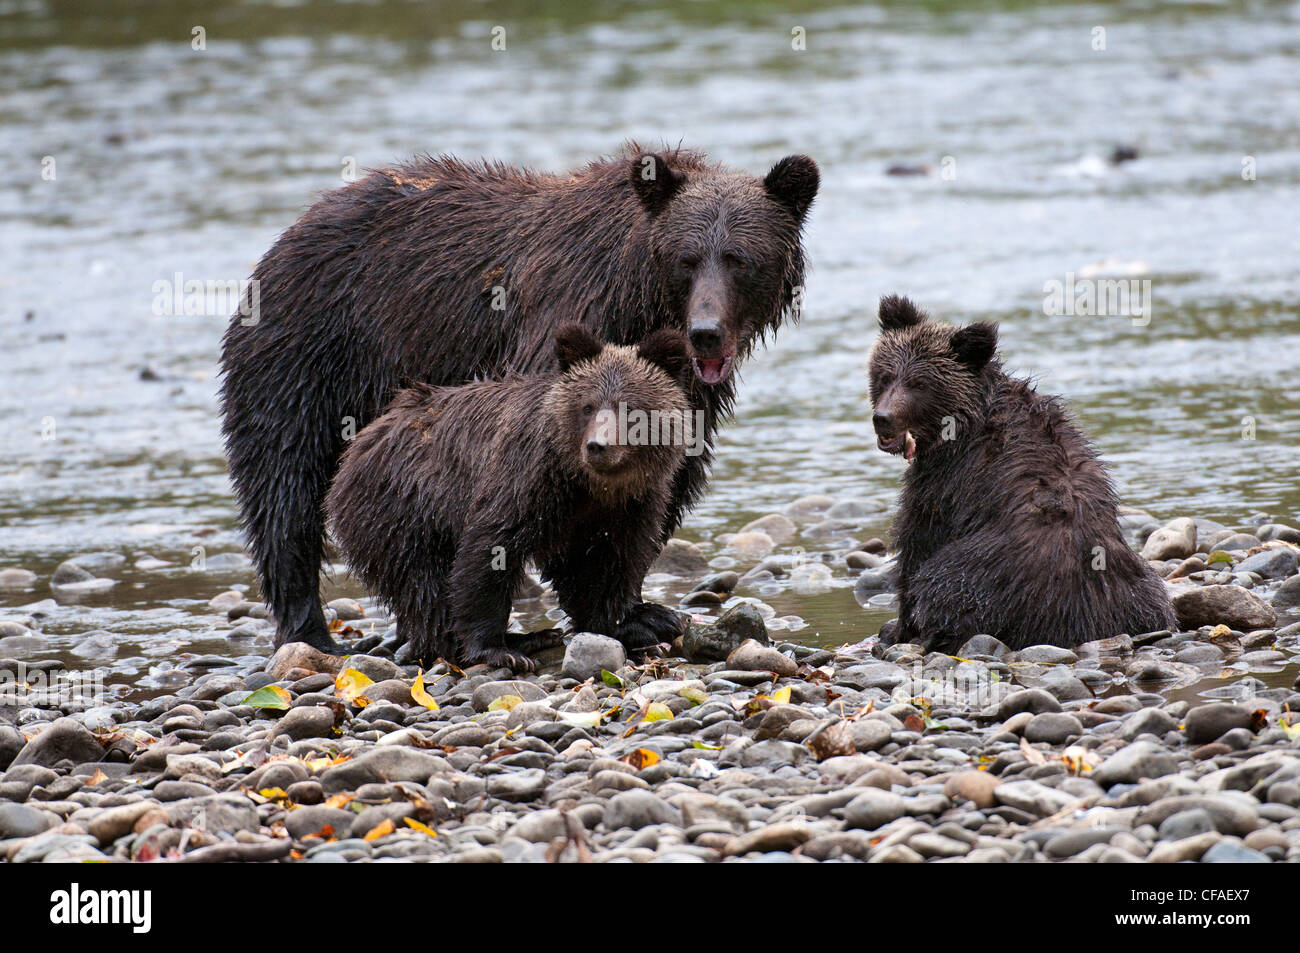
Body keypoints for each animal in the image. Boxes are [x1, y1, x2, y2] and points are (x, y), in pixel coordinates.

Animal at [327, 323, 691, 665]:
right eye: (587, 405)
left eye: (630, 407)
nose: (597, 446)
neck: (590, 485)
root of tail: (364, 438)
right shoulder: (526, 478)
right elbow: (490, 548)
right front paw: (494, 649)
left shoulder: (632, 504)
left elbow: (609, 561)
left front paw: (637, 622)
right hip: (402, 505)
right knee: (422, 580)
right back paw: (503, 641)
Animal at [868, 295, 1175, 655]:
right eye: (885, 375)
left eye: (920, 384)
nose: (883, 418)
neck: (959, 423)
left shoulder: (946, 480)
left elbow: (917, 538)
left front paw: (897, 627)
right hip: (1137, 586)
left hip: (986, 573)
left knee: (944, 585)